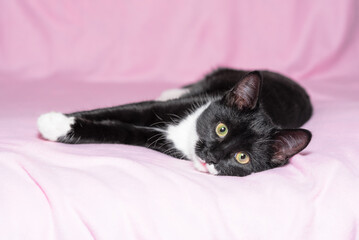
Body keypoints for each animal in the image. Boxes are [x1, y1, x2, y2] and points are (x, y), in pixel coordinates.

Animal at [37, 67, 312, 176]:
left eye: (242, 157)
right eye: (221, 129)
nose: (211, 155)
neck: (186, 133)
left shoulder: (163, 142)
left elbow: (126, 130)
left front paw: (55, 126)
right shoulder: (180, 106)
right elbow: (128, 110)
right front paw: (55, 121)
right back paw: (171, 90)